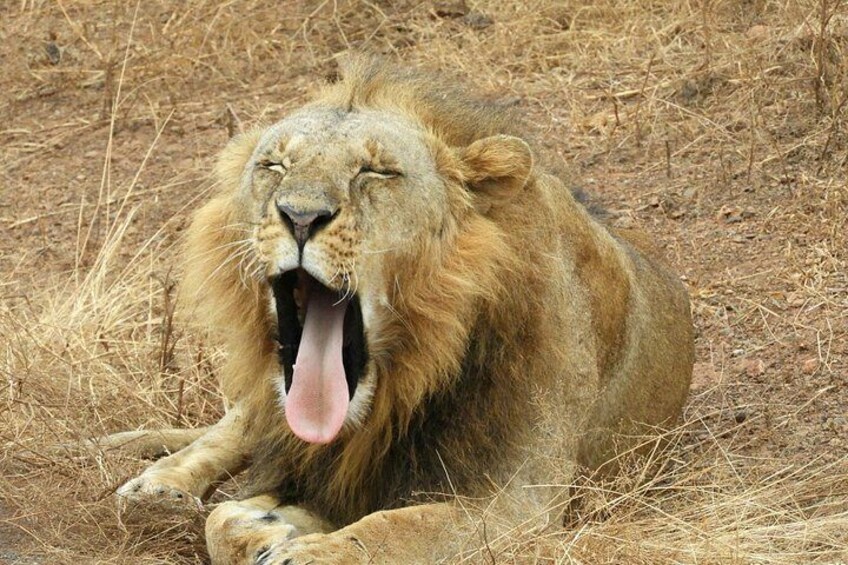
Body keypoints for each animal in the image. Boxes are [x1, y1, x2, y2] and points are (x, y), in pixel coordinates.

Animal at [113, 56, 694, 564]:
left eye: (377, 171)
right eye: (273, 165)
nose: (299, 216)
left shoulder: (519, 498)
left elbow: (401, 528)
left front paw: (308, 546)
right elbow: (221, 518)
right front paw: (265, 528)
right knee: (225, 431)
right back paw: (156, 490)